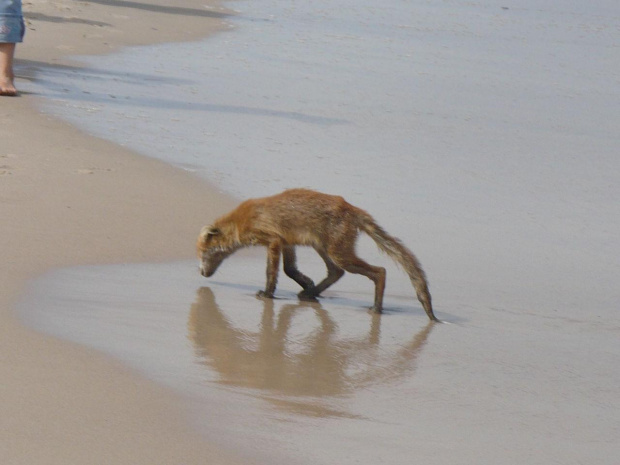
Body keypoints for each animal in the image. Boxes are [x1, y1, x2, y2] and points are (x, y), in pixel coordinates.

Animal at [196, 187, 438, 320]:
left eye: (201, 255)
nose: (200, 273)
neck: (240, 222)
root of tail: (352, 208)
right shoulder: (287, 242)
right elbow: (290, 270)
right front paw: (307, 283)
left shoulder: (272, 240)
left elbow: (272, 273)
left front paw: (267, 294)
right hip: (323, 248)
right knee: (336, 273)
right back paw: (310, 293)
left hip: (339, 253)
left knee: (379, 271)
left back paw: (376, 308)